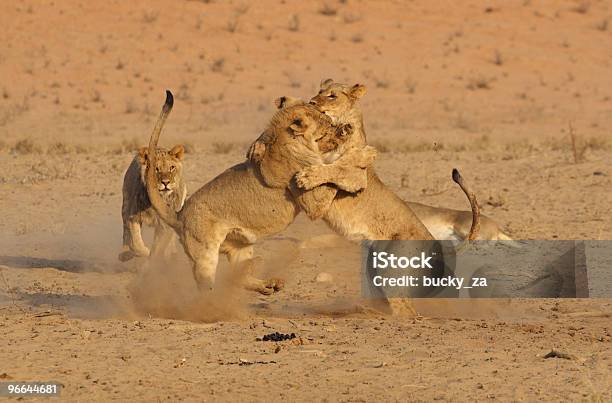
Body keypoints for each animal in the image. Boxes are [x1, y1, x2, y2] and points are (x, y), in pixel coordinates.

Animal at [144, 90, 372, 294]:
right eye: (326, 126)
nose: (343, 128)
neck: (291, 141)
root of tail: (180, 214)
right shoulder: (313, 202)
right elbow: (331, 171)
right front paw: (361, 159)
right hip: (205, 254)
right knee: (205, 286)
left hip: (241, 246)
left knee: (240, 276)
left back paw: (269, 285)